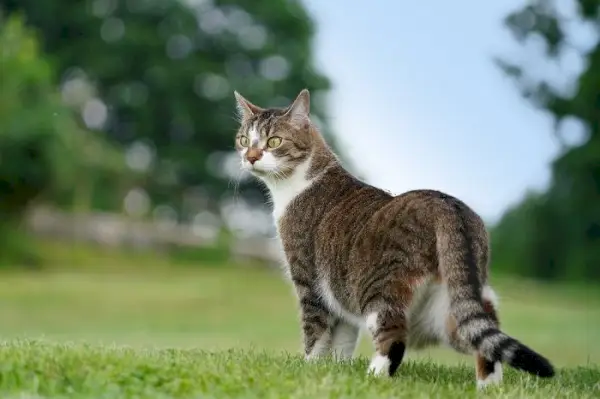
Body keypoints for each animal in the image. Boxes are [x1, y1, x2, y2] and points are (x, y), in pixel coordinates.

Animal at [232, 89, 556, 390]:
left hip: (380, 290)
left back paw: (374, 378)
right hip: (455, 300)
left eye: (274, 141)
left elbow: (315, 333)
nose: (250, 157)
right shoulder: (338, 293)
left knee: (395, 338)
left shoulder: (309, 282)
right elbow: (342, 340)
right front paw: (334, 373)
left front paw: (309, 370)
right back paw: (489, 387)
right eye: (244, 140)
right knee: (485, 332)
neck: (300, 181)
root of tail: (447, 204)